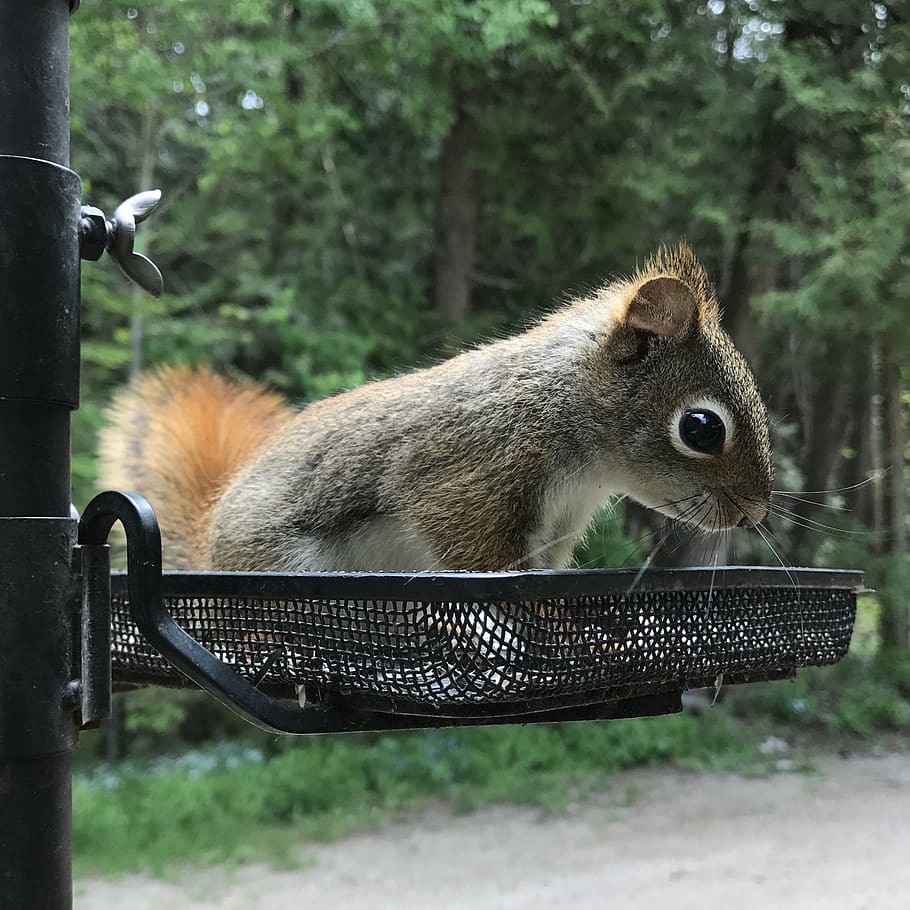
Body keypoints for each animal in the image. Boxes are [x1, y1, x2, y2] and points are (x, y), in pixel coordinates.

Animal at [99, 243, 773, 574]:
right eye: (701, 428)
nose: (753, 514)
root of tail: (210, 552)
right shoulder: (467, 472)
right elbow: (473, 550)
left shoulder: (555, 528)